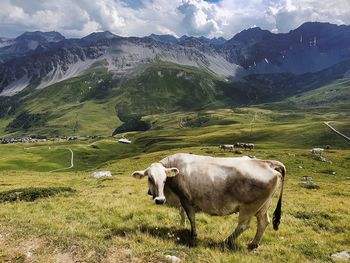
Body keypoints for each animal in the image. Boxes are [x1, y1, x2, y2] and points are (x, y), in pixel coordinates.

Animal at [133, 154, 286, 251]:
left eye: (165, 179)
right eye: (150, 178)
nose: (159, 200)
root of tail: (266, 163)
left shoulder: (186, 199)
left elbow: (191, 217)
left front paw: (193, 234)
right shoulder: (181, 201)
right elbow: (182, 214)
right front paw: (182, 226)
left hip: (249, 207)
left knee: (243, 225)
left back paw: (227, 240)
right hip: (263, 206)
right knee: (263, 222)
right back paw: (254, 244)